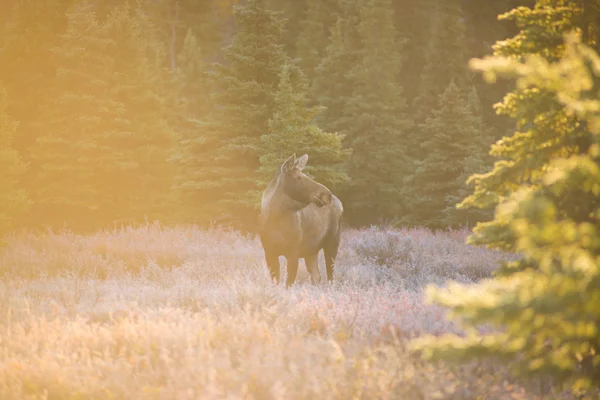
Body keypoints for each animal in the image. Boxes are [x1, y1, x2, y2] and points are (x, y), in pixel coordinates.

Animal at [258, 153, 342, 288]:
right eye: (299, 177)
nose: (326, 194)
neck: (275, 218)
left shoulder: (293, 252)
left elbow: (289, 284)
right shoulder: (269, 251)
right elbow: (276, 281)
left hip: (333, 241)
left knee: (330, 276)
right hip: (311, 250)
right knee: (316, 276)